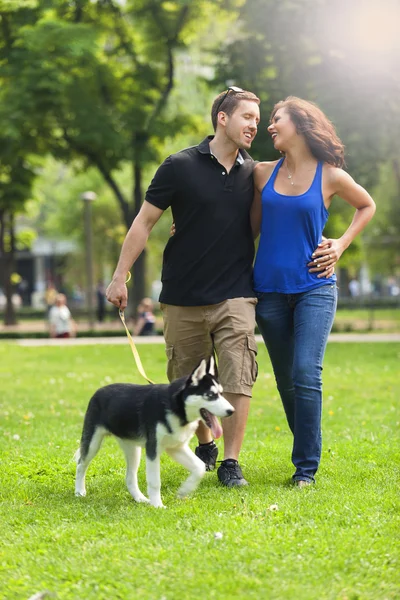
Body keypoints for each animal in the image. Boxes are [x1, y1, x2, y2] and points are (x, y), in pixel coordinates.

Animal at [74, 358, 234, 508]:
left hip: (133, 449)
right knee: (81, 464)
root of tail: (99, 391)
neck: (175, 407)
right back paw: (79, 491)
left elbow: (199, 467)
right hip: (93, 443)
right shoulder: (153, 449)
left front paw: (184, 490)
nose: (231, 411)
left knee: (130, 477)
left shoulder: (177, 448)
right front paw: (157, 505)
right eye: (210, 395)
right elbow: (155, 481)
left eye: (221, 393)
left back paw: (140, 498)